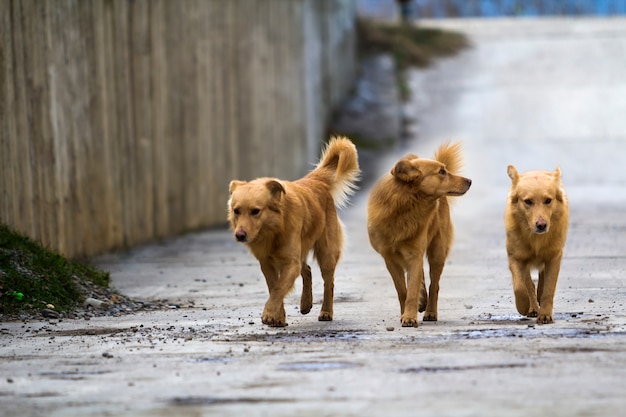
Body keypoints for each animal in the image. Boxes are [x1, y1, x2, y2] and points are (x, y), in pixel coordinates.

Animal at [227, 136, 358, 324]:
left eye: (255, 211)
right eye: (236, 211)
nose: (240, 235)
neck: (273, 230)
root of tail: (316, 181)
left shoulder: (290, 262)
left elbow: (278, 289)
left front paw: (269, 313)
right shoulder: (267, 263)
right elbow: (274, 287)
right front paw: (279, 317)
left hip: (326, 252)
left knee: (329, 282)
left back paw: (326, 312)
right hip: (301, 251)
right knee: (307, 270)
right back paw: (305, 304)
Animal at [366, 141, 468, 326]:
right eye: (441, 172)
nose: (470, 181)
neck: (405, 205)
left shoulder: (415, 253)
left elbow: (412, 290)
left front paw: (409, 316)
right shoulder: (389, 258)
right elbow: (402, 290)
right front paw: (405, 313)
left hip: (437, 252)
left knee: (434, 285)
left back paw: (430, 311)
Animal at [504, 164, 568, 324]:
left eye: (548, 200)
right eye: (528, 201)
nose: (541, 225)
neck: (535, 238)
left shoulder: (554, 257)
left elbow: (549, 289)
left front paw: (545, 314)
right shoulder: (516, 257)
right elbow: (520, 287)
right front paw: (523, 306)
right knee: (529, 283)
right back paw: (532, 306)